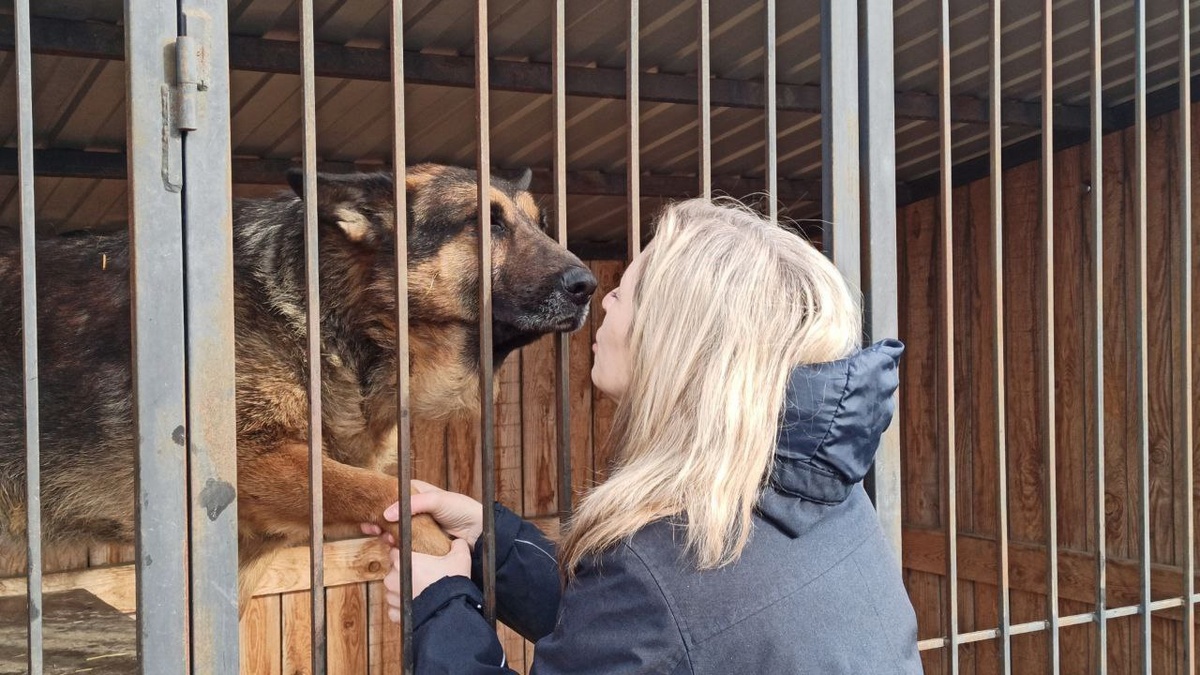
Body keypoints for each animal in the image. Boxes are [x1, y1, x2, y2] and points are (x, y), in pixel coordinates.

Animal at [0, 163, 596, 613]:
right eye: (484, 223)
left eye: (541, 225)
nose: (587, 285)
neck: (332, 316)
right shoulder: (253, 461)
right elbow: (403, 502)